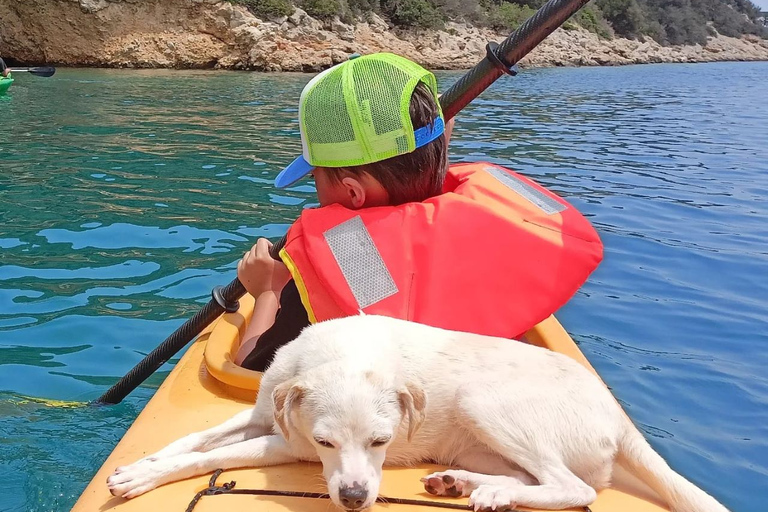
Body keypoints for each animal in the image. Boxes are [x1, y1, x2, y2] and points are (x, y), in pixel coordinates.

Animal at [105, 316, 728, 512]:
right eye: (328, 444)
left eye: (382, 442)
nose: (356, 498)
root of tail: (618, 415)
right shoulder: (264, 416)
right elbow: (192, 440)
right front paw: (142, 463)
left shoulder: (282, 443)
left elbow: (202, 457)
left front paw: (142, 478)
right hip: (483, 439)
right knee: (534, 477)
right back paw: (467, 484)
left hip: (485, 401)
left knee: (574, 487)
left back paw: (490, 493)